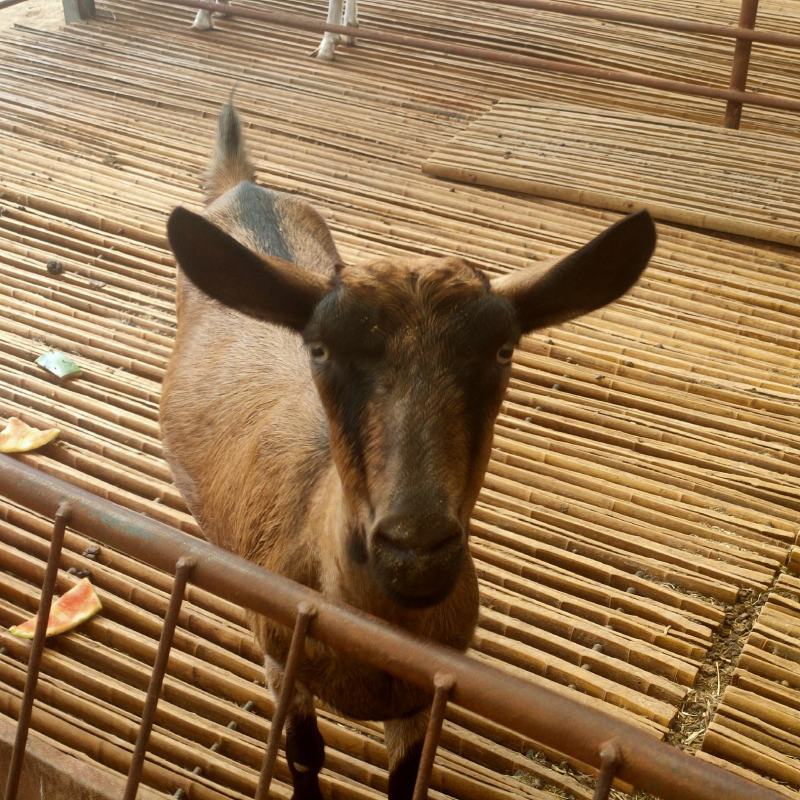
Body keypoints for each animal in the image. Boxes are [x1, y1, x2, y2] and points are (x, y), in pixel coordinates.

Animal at [161, 98, 656, 800]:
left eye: (504, 350)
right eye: (319, 348)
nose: (416, 551)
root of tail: (242, 187)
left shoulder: (424, 695)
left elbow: (405, 778)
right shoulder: (278, 652)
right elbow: (303, 751)